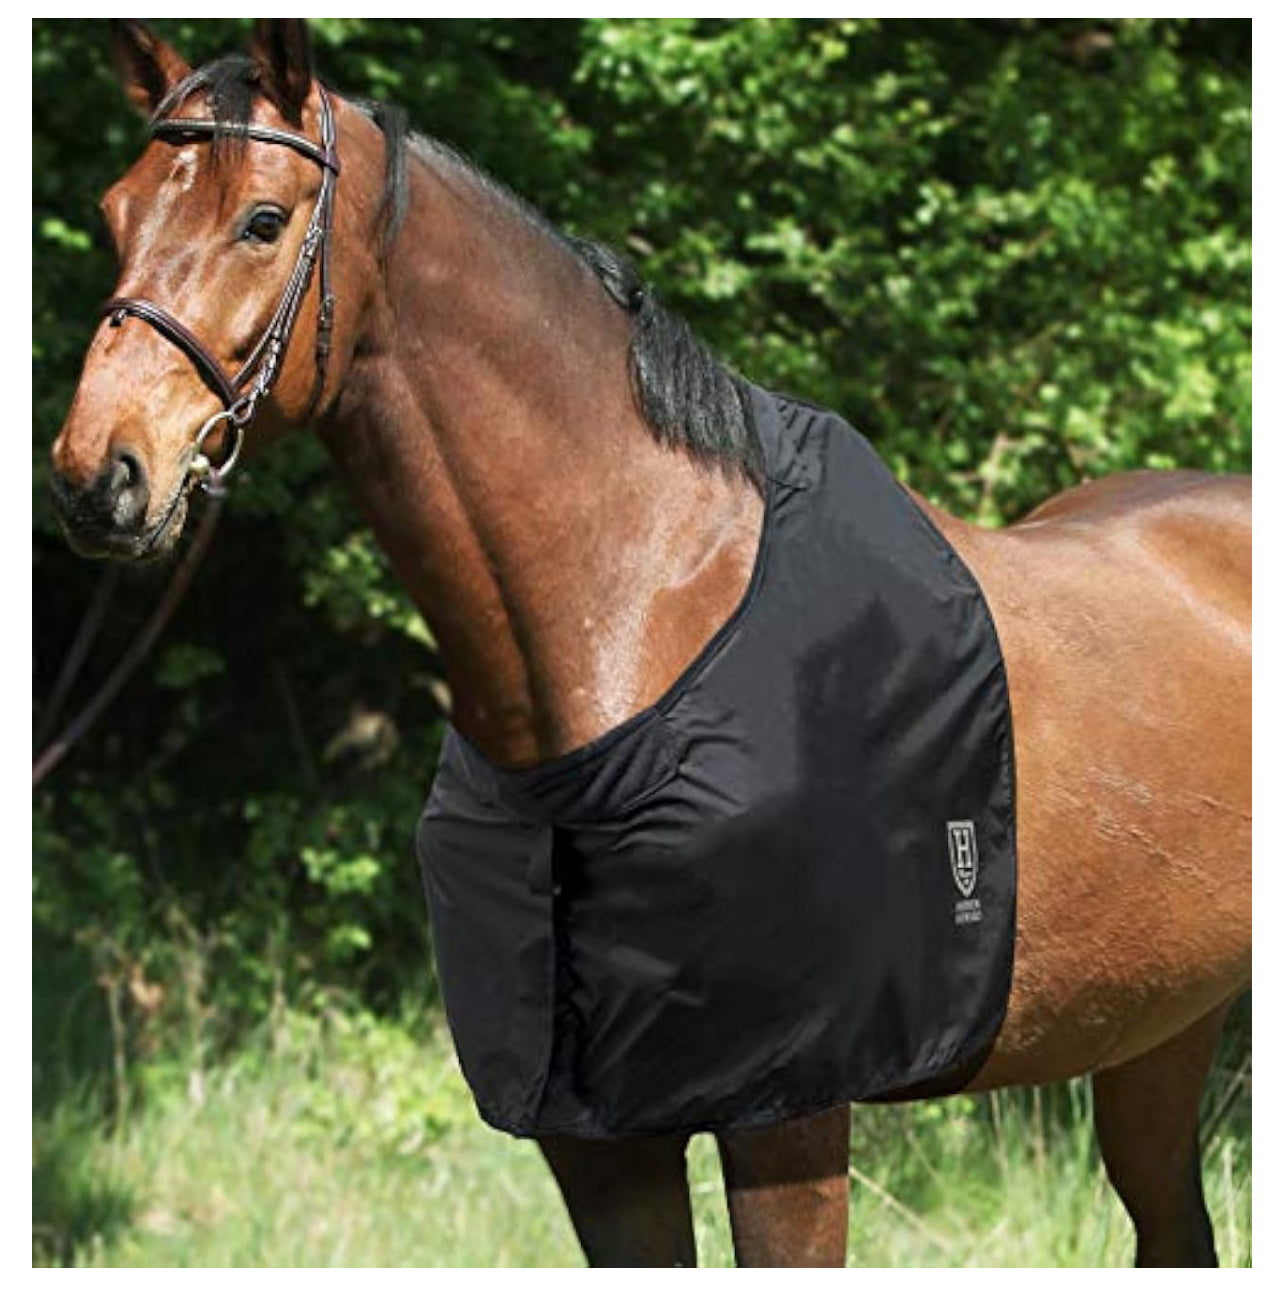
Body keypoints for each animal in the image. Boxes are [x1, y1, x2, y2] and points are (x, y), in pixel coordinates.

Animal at [50, 20, 1250, 1267]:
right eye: (116, 210)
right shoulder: (595, 1141)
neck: (647, 603)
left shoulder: (791, 1121)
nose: (100, 474)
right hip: (1162, 1024)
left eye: (263, 219)